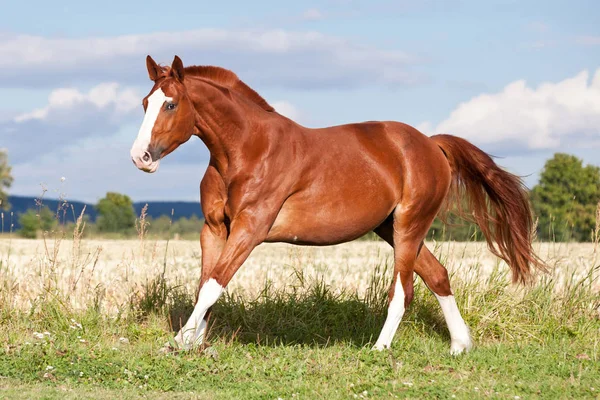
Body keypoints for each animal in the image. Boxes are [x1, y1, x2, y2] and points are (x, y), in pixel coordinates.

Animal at [131, 54, 548, 352]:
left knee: (403, 289)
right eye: (145, 102)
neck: (245, 150)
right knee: (438, 275)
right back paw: (460, 345)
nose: (141, 158)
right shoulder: (215, 229)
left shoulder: (251, 228)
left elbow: (214, 284)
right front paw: (194, 343)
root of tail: (431, 144)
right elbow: (206, 284)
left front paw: (179, 342)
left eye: (171, 105)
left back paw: (379, 349)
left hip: (409, 226)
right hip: (390, 228)